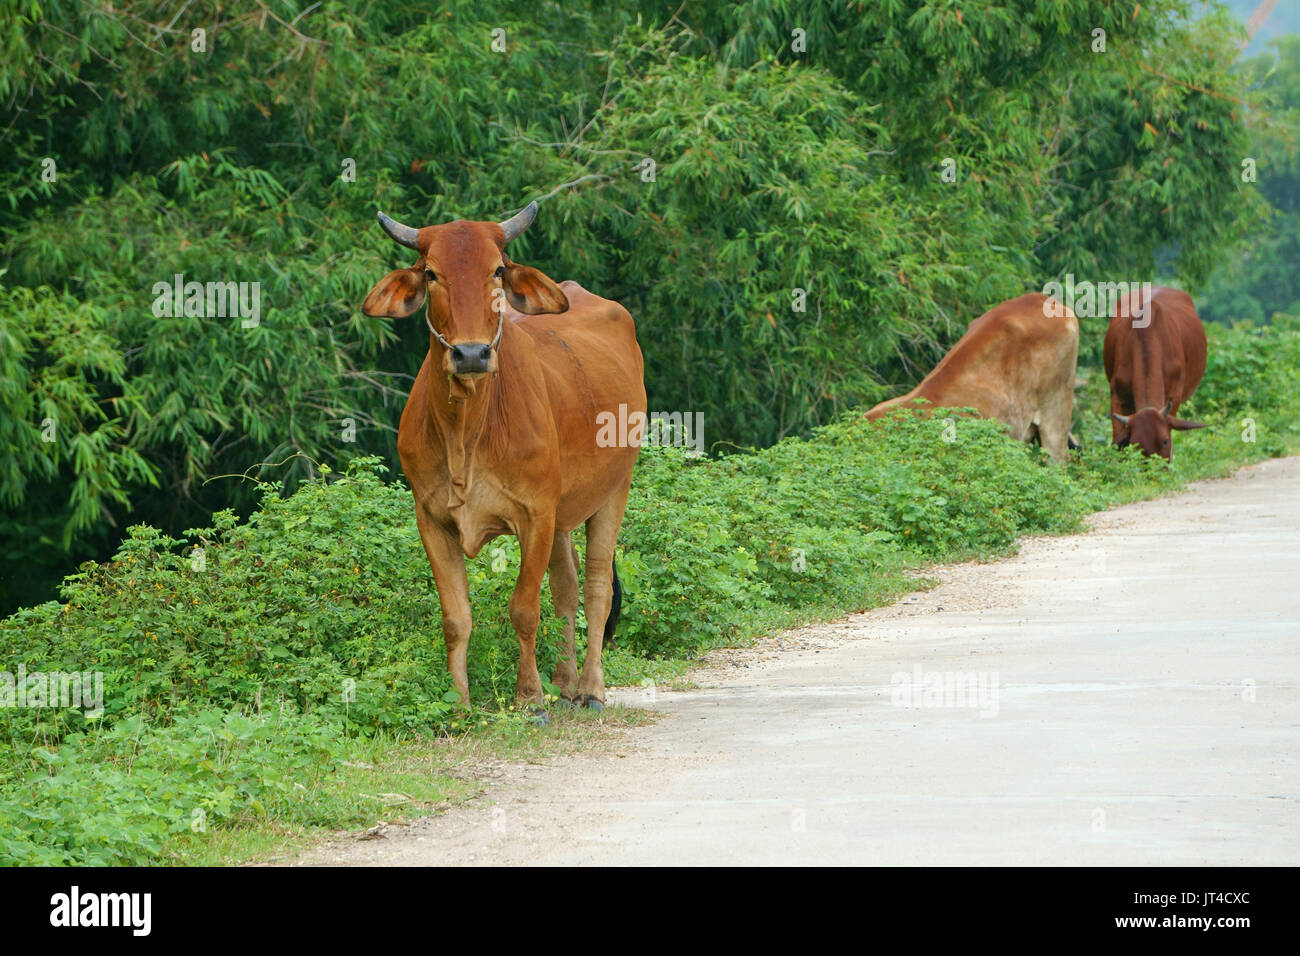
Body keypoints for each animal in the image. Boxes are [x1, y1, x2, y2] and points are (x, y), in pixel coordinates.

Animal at [361, 204, 644, 712]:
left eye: (496, 269)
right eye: (431, 273)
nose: (471, 354)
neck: (467, 432)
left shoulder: (535, 515)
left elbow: (524, 610)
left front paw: (530, 699)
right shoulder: (431, 519)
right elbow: (456, 617)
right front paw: (459, 704)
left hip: (615, 488)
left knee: (595, 588)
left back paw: (590, 688)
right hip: (563, 514)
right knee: (567, 589)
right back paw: (565, 682)